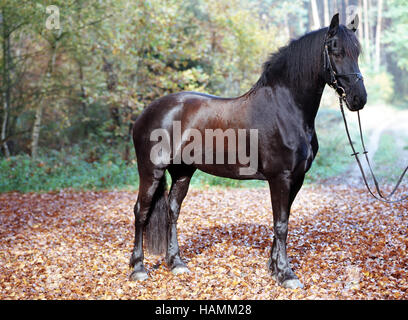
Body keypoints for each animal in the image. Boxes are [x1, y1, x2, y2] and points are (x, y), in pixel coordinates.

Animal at [129, 15, 364, 288]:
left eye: (357, 51)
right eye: (335, 49)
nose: (359, 99)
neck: (285, 108)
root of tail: (146, 113)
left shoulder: (296, 179)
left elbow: (282, 221)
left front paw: (274, 268)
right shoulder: (281, 178)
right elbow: (281, 224)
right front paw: (286, 274)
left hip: (182, 173)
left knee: (172, 211)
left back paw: (176, 263)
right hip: (151, 171)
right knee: (141, 212)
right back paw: (138, 268)